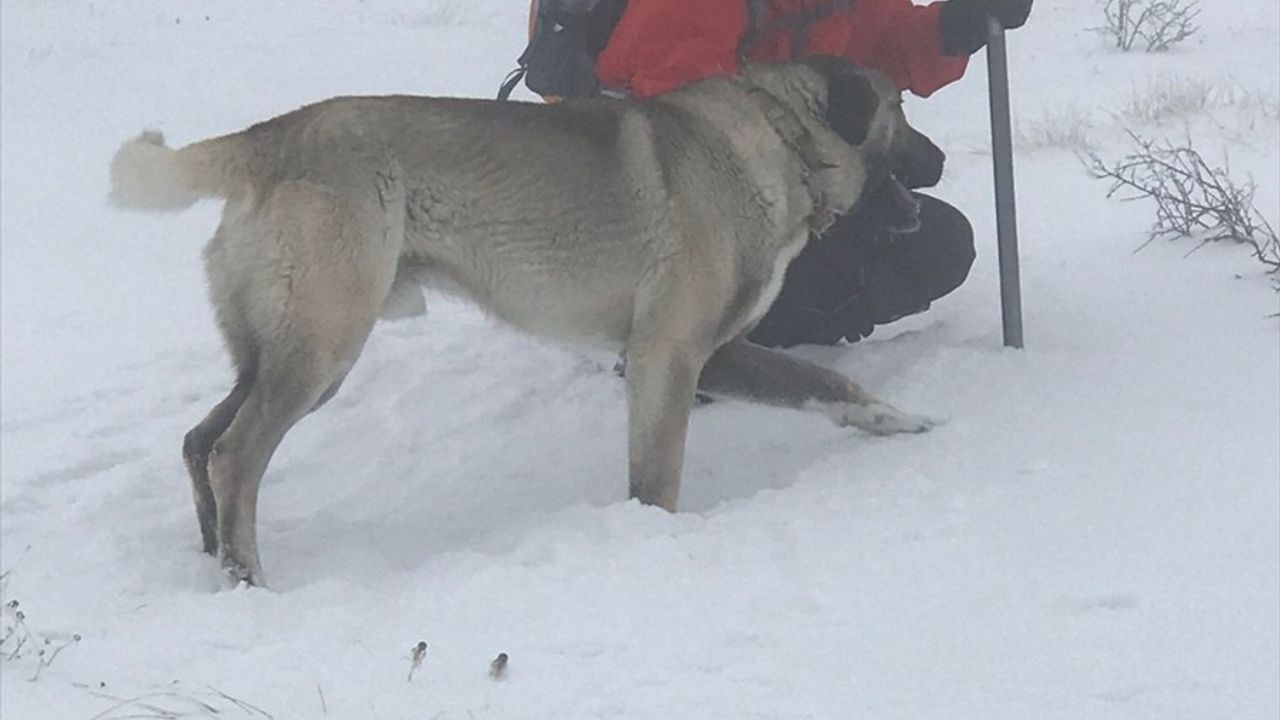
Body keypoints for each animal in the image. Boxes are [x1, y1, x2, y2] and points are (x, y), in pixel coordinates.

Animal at [110, 56, 931, 584]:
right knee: (233, 457)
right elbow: (656, 482)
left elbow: (828, 384)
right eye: (902, 111)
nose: (941, 159)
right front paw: (652, 543)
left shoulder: (723, 353)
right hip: (321, 352)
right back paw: (250, 576)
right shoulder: (668, 358)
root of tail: (270, 136)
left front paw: (906, 423)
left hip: (291, 359)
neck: (778, 138)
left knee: (199, 442)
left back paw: (217, 561)